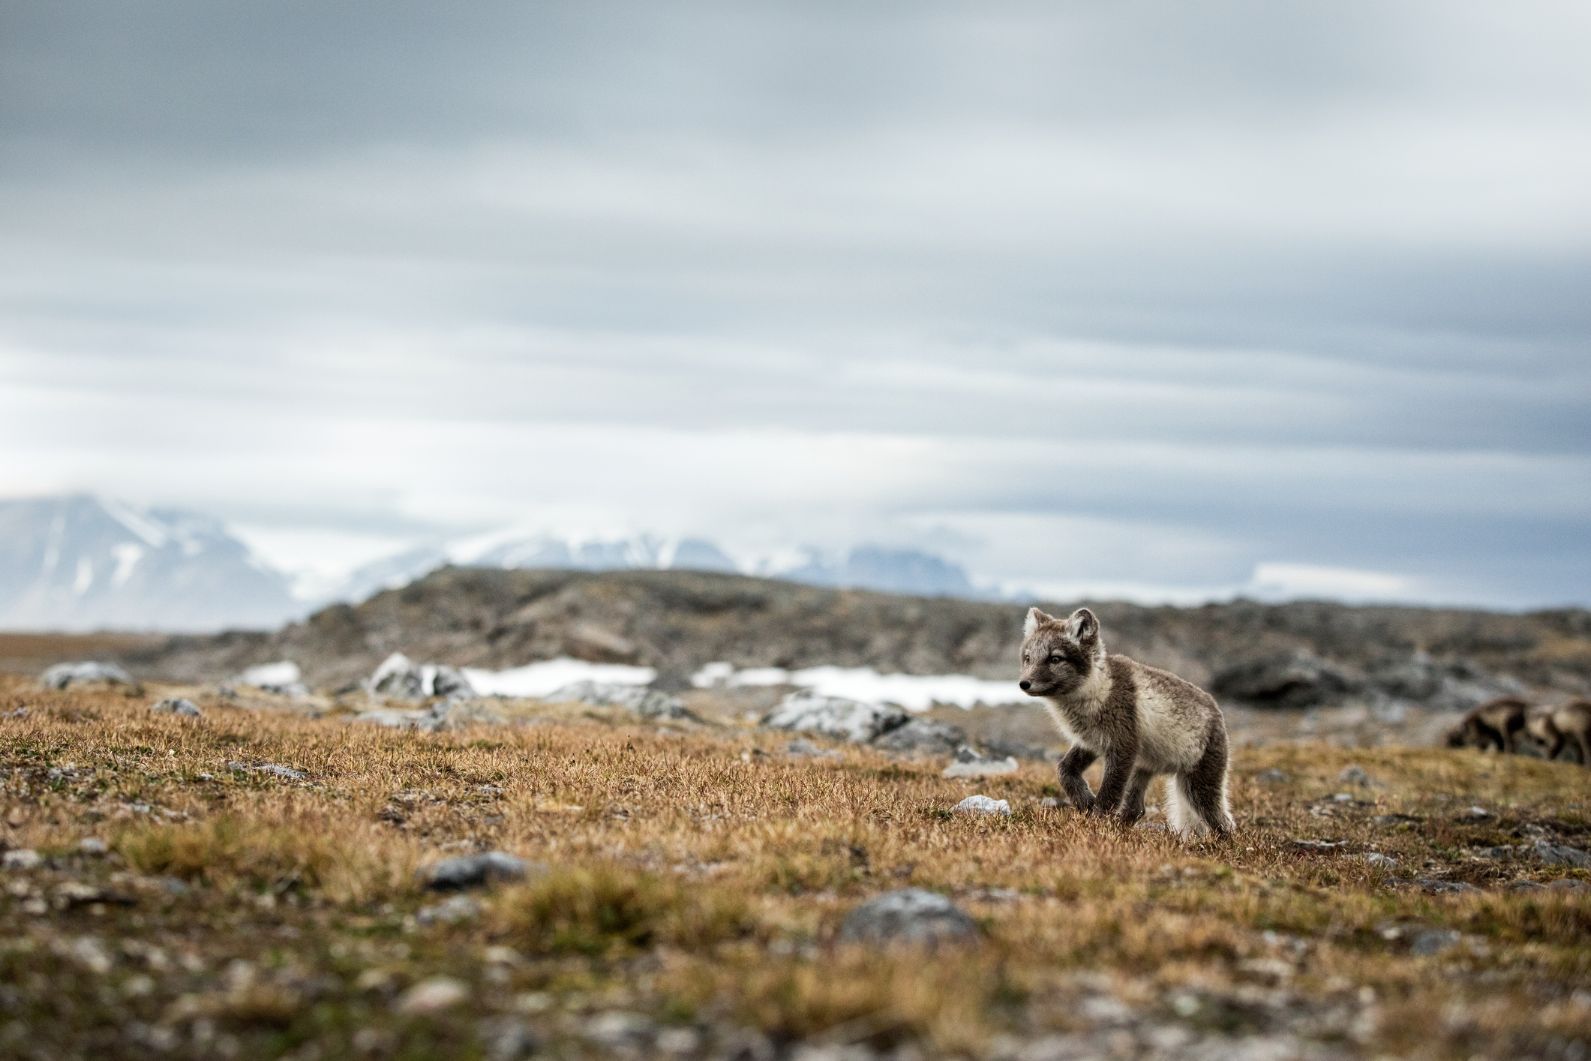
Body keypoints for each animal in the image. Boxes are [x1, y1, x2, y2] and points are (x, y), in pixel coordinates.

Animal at [1024, 604, 1234, 839]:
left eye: (1055, 659)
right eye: (1028, 658)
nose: (1024, 683)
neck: (1096, 689)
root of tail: (1217, 711)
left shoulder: (1122, 746)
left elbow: (1108, 795)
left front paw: (1096, 826)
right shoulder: (1090, 742)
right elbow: (1063, 770)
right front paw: (1085, 803)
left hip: (1198, 787)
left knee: (1223, 822)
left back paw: (1222, 843)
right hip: (1142, 768)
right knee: (1137, 809)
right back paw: (1122, 829)